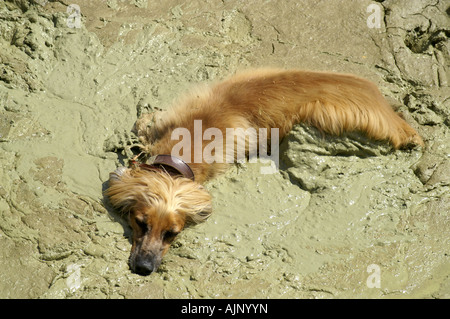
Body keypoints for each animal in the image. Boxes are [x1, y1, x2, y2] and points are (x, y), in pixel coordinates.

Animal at [103, 69, 424, 276]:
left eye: (173, 234)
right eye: (140, 223)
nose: (144, 269)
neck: (187, 143)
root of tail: (399, 122)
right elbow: (143, 124)